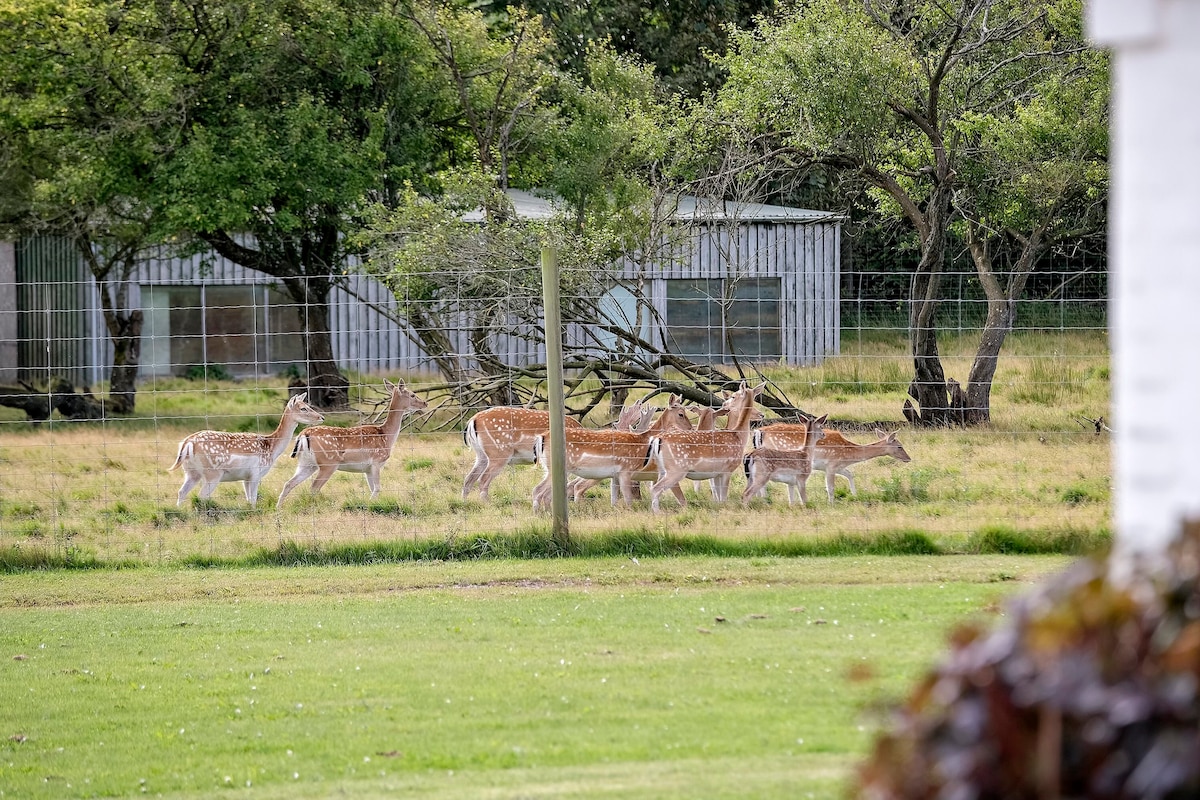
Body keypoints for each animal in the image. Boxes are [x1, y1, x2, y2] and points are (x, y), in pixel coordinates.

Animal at [169, 393, 326, 506]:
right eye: (303, 408)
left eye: (308, 405)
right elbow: (254, 500)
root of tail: (187, 443)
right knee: (202, 496)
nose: (321, 417)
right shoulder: (256, 473)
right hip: (212, 473)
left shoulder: (246, 477)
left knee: (181, 492)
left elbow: (249, 500)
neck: (271, 448)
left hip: (191, 472)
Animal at [277, 379, 432, 503]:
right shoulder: (376, 461)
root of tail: (304, 434)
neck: (386, 435)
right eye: (412, 394)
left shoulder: (367, 469)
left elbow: (373, 489)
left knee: (288, 483)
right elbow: (377, 488)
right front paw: (369, 504)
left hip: (307, 463)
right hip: (328, 463)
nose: (425, 403)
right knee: (313, 487)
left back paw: (279, 510)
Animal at [648, 383, 768, 513]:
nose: (724, 405)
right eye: (733, 395)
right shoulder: (727, 469)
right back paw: (658, 513)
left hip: (662, 470)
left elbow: (719, 498)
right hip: (676, 469)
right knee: (656, 489)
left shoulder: (716, 473)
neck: (739, 437)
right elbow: (723, 498)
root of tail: (657, 439)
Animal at [753, 424, 912, 501]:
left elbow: (850, 474)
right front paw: (831, 504)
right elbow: (830, 487)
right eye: (899, 446)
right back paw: (766, 501)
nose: (908, 458)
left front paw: (855, 495)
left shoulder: (837, 466)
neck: (848, 454)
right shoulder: (831, 464)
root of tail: (759, 432)